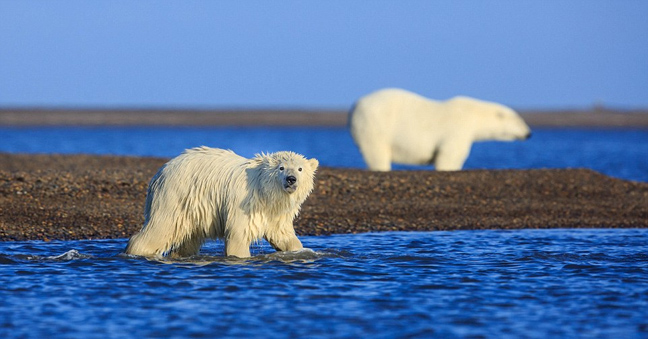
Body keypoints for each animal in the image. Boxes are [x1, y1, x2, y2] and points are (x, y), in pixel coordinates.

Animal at [124, 146, 318, 258]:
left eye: (300, 169)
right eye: (281, 168)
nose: (291, 179)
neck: (264, 191)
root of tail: (160, 172)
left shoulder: (274, 211)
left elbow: (282, 234)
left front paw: (302, 251)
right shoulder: (245, 203)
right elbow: (239, 235)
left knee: (188, 238)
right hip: (175, 195)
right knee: (161, 228)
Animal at [350, 88, 532, 171]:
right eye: (520, 120)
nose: (529, 133)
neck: (474, 116)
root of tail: (355, 106)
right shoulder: (458, 129)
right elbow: (450, 156)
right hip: (375, 125)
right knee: (377, 152)